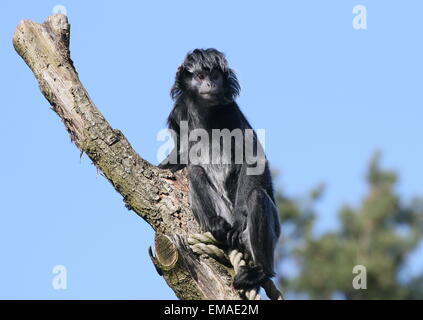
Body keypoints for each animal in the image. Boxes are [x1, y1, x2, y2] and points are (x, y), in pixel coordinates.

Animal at [159, 48, 282, 292]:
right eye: (199, 77)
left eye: (215, 75)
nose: (210, 84)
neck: (204, 111)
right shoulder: (179, 112)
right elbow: (180, 158)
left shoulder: (231, 111)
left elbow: (254, 160)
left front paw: (240, 219)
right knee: (195, 170)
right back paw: (216, 224)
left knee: (256, 196)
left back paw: (260, 271)